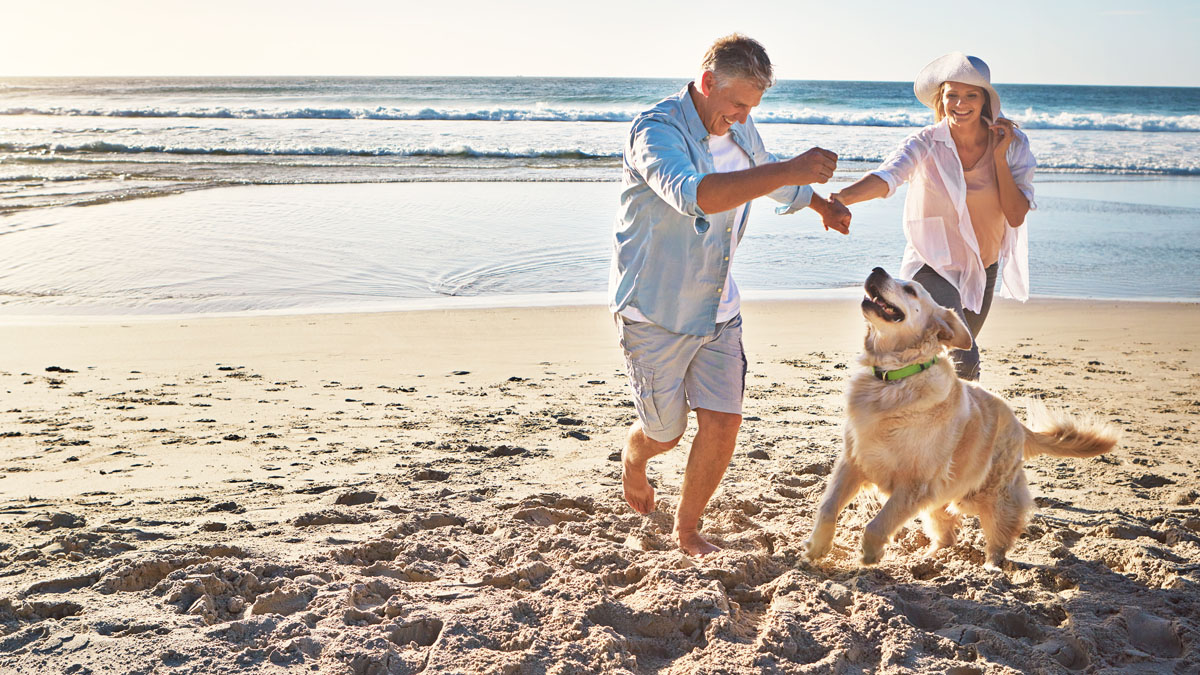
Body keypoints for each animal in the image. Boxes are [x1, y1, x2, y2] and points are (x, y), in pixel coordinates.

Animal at [801, 265, 1118, 564]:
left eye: (911, 290)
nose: (876, 271)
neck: (893, 380)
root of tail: (1018, 423)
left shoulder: (915, 484)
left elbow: (878, 524)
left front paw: (870, 553)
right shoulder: (853, 461)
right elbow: (828, 506)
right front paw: (817, 547)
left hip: (989, 494)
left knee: (1000, 536)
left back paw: (992, 567)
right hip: (942, 498)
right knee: (948, 534)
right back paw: (928, 559)